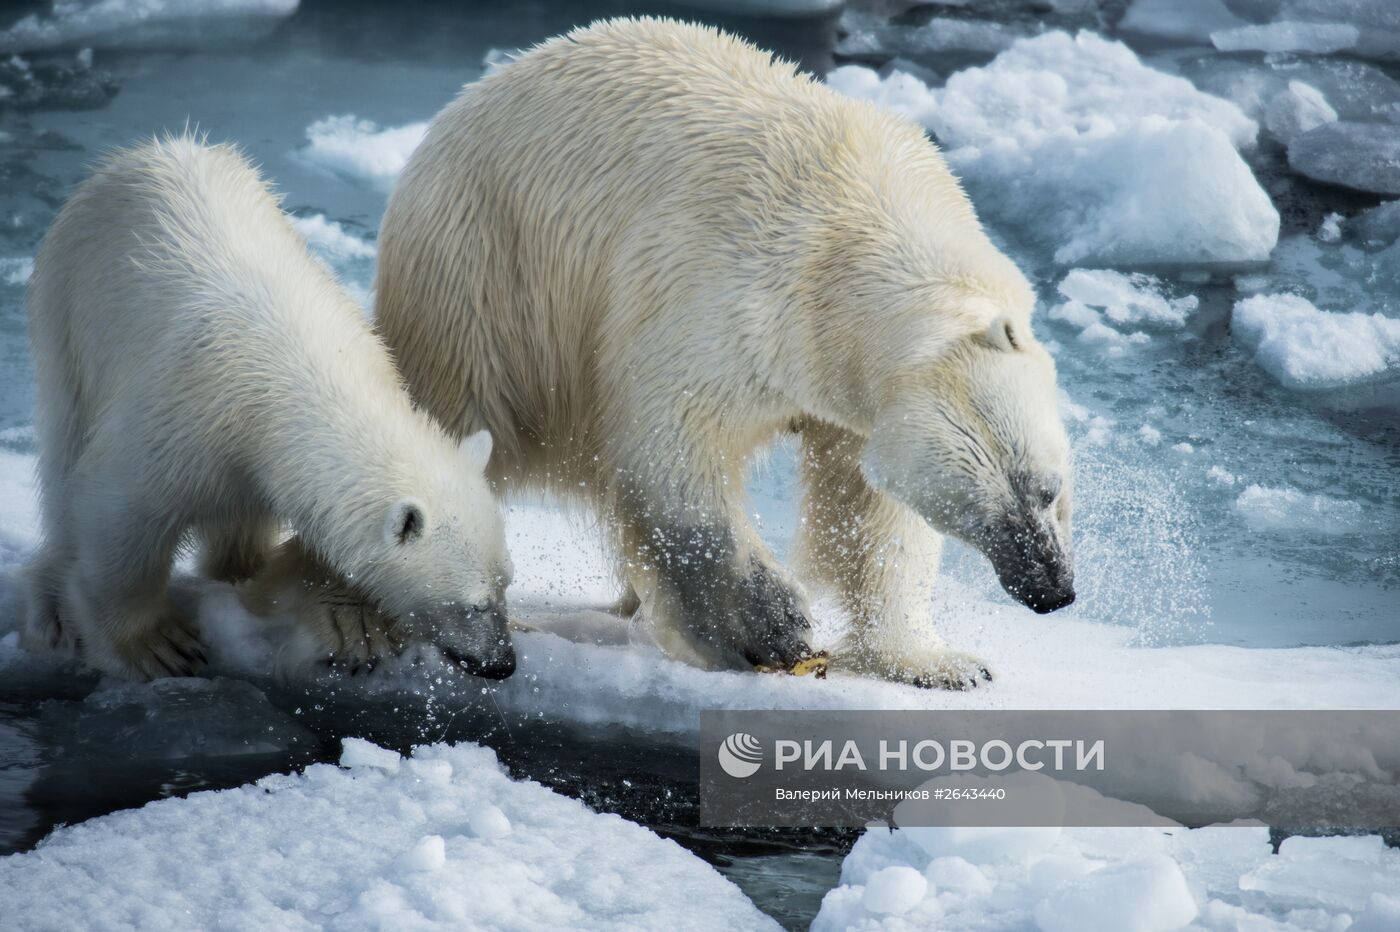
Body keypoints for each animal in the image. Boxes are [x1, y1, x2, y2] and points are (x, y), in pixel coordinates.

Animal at [372, 18, 1069, 685]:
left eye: (1046, 487)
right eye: (977, 516)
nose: (1052, 590)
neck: (855, 214)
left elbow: (871, 512)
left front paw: (942, 663)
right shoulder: (720, 302)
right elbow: (677, 456)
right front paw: (773, 627)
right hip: (485, 281)